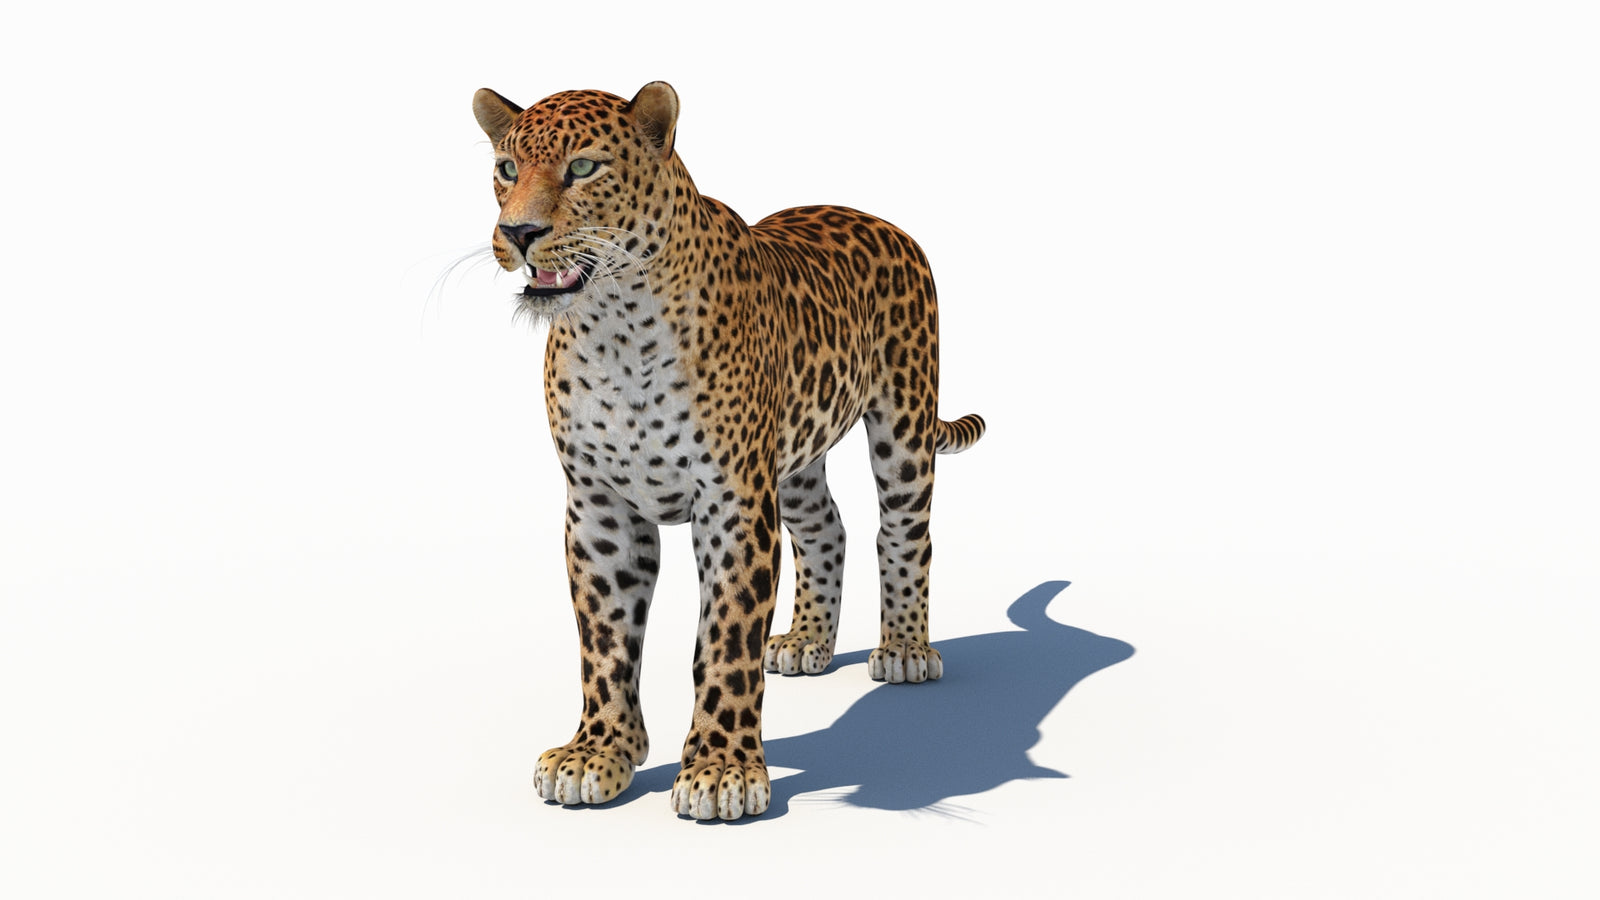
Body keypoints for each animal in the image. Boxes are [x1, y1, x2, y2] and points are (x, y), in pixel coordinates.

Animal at [470, 81, 985, 821]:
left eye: (584, 169)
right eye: (507, 170)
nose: (518, 232)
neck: (613, 329)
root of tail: (883, 220)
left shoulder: (733, 500)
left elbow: (725, 638)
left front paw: (721, 770)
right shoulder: (599, 507)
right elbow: (605, 638)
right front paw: (597, 752)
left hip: (904, 426)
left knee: (903, 534)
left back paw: (907, 649)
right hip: (794, 455)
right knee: (827, 528)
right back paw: (807, 641)